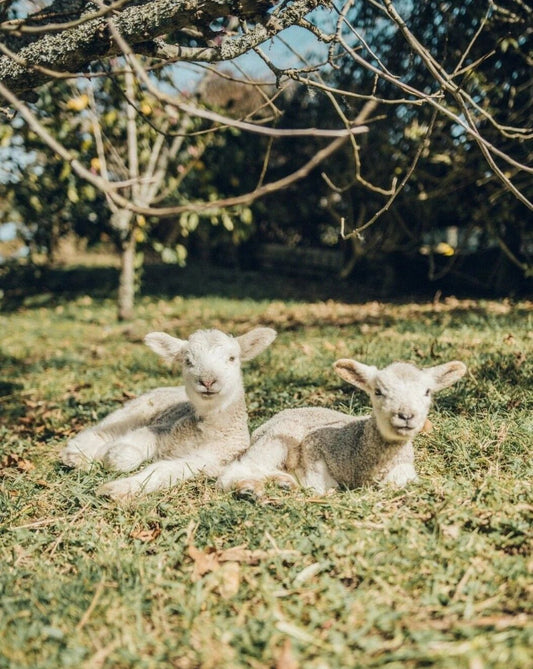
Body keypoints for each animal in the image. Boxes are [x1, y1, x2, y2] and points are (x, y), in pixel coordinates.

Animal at [60, 326, 277, 499]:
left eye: (232, 358)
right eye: (187, 361)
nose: (207, 381)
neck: (206, 431)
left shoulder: (209, 460)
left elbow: (162, 470)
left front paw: (117, 487)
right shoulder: (163, 429)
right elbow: (129, 449)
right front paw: (110, 454)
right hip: (136, 410)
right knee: (101, 431)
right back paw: (75, 456)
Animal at [218, 358, 466, 496]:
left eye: (427, 392)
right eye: (378, 391)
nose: (406, 415)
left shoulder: (404, 470)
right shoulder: (315, 448)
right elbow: (318, 482)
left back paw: (282, 483)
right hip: (277, 439)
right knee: (235, 471)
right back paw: (250, 489)